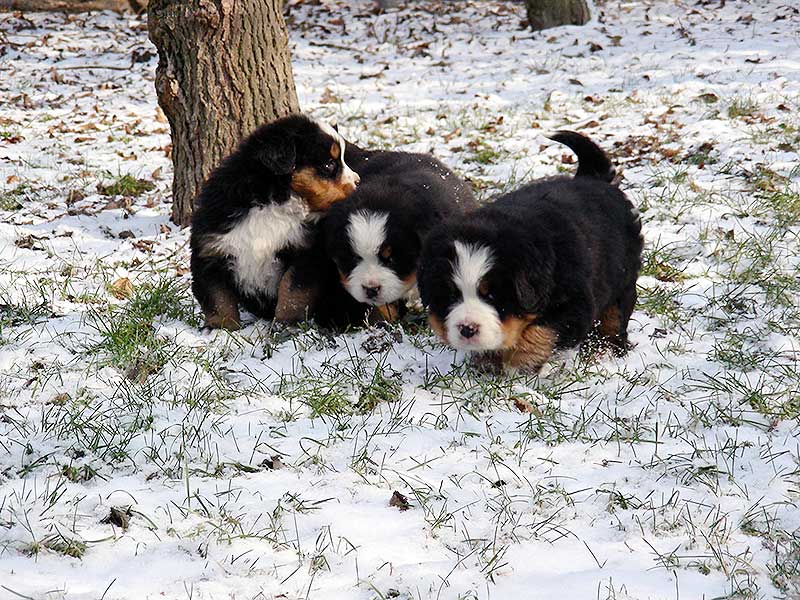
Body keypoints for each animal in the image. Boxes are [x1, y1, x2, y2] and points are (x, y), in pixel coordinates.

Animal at [191, 112, 360, 328]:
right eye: (329, 164)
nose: (358, 181)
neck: (272, 204)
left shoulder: (305, 252)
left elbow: (292, 291)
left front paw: (286, 323)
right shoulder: (209, 251)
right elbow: (218, 298)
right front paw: (221, 329)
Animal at [418, 132, 644, 370]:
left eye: (491, 295)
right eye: (452, 294)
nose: (467, 329)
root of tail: (592, 178)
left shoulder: (574, 301)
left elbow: (541, 332)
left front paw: (521, 362)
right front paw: (486, 361)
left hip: (623, 277)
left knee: (615, 315)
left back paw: (609, 348)